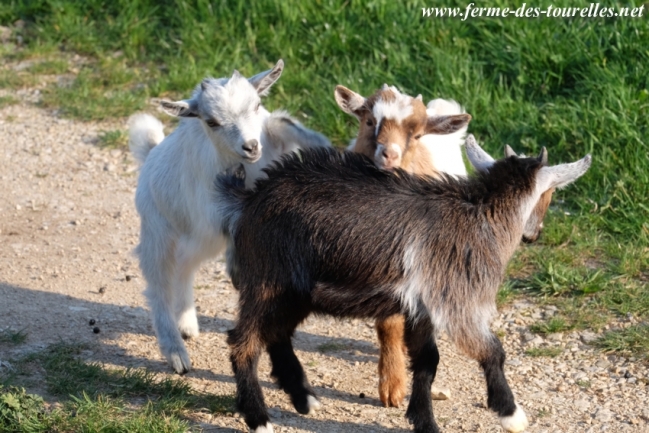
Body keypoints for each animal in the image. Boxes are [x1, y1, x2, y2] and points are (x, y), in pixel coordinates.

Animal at [216, 139, 588, 432]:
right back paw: (259, 418)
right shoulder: (457, 301)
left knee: (276, 334)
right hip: (267, 281)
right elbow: (492, 351)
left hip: (294, 292)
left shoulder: (422, 307)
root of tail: (249, 199)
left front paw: (423, 421)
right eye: (549, 193)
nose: (534, 234)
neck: (479, 215)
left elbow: (427, 361)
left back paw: (304, 398)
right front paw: (511, 414)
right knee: (243, 342)